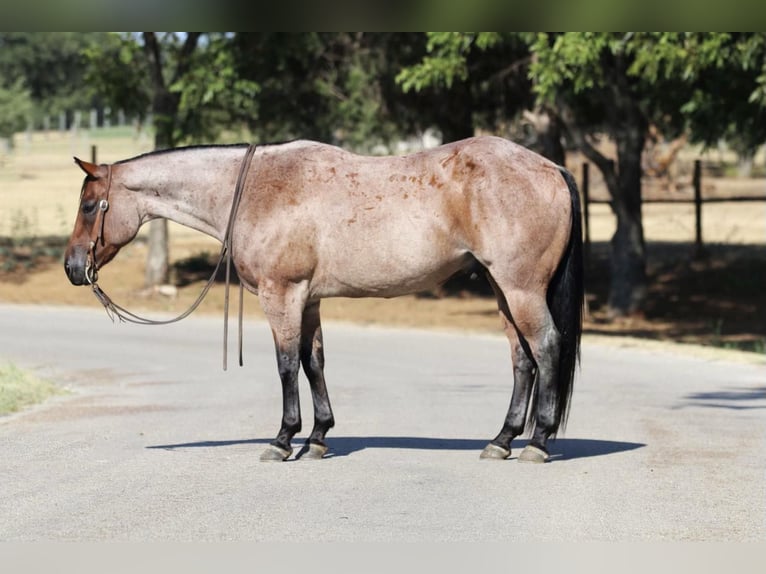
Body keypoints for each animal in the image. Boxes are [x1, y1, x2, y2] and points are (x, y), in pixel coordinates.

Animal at [66, 136, 584, 464]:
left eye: (90, 206)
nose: (73, 267)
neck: (255, 189)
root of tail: (552, 168)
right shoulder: (309, 301)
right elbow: (313, 363)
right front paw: (316, 437)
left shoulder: (281, 295)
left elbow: (285, 366)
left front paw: (282, 439)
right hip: (502, 290)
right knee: (522, 360)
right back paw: (501, 440)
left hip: (520, 289)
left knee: (546, 349)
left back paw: (538, 442)